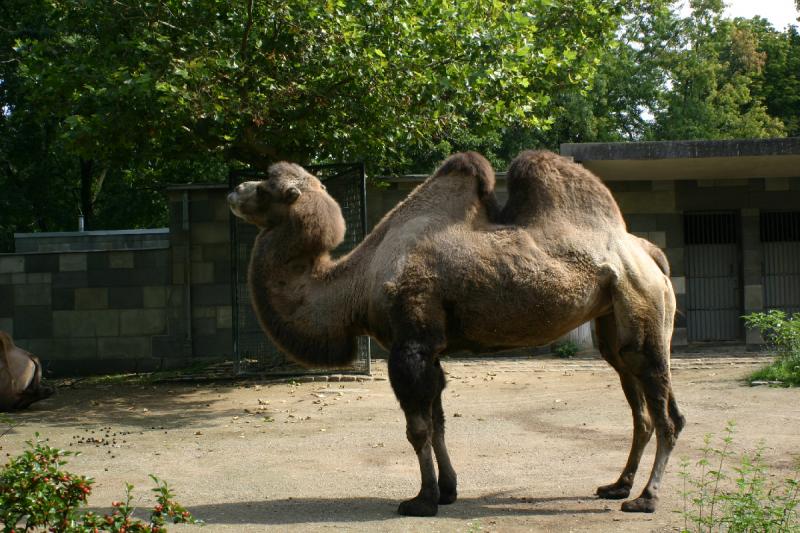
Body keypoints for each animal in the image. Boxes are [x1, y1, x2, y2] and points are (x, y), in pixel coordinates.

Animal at [228, 150, 684, 516]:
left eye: (266, 187)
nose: (234, 191)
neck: (356, 282)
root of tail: (650, 253)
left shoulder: (410, 345)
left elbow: (417, 429)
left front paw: (422, 500)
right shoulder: (430, 351)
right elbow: (438, 421)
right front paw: (447, 490)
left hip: (641, 303)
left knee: (665, 413)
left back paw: (645, 498)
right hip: (612, 319)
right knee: (641, 403)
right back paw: (618, 486)